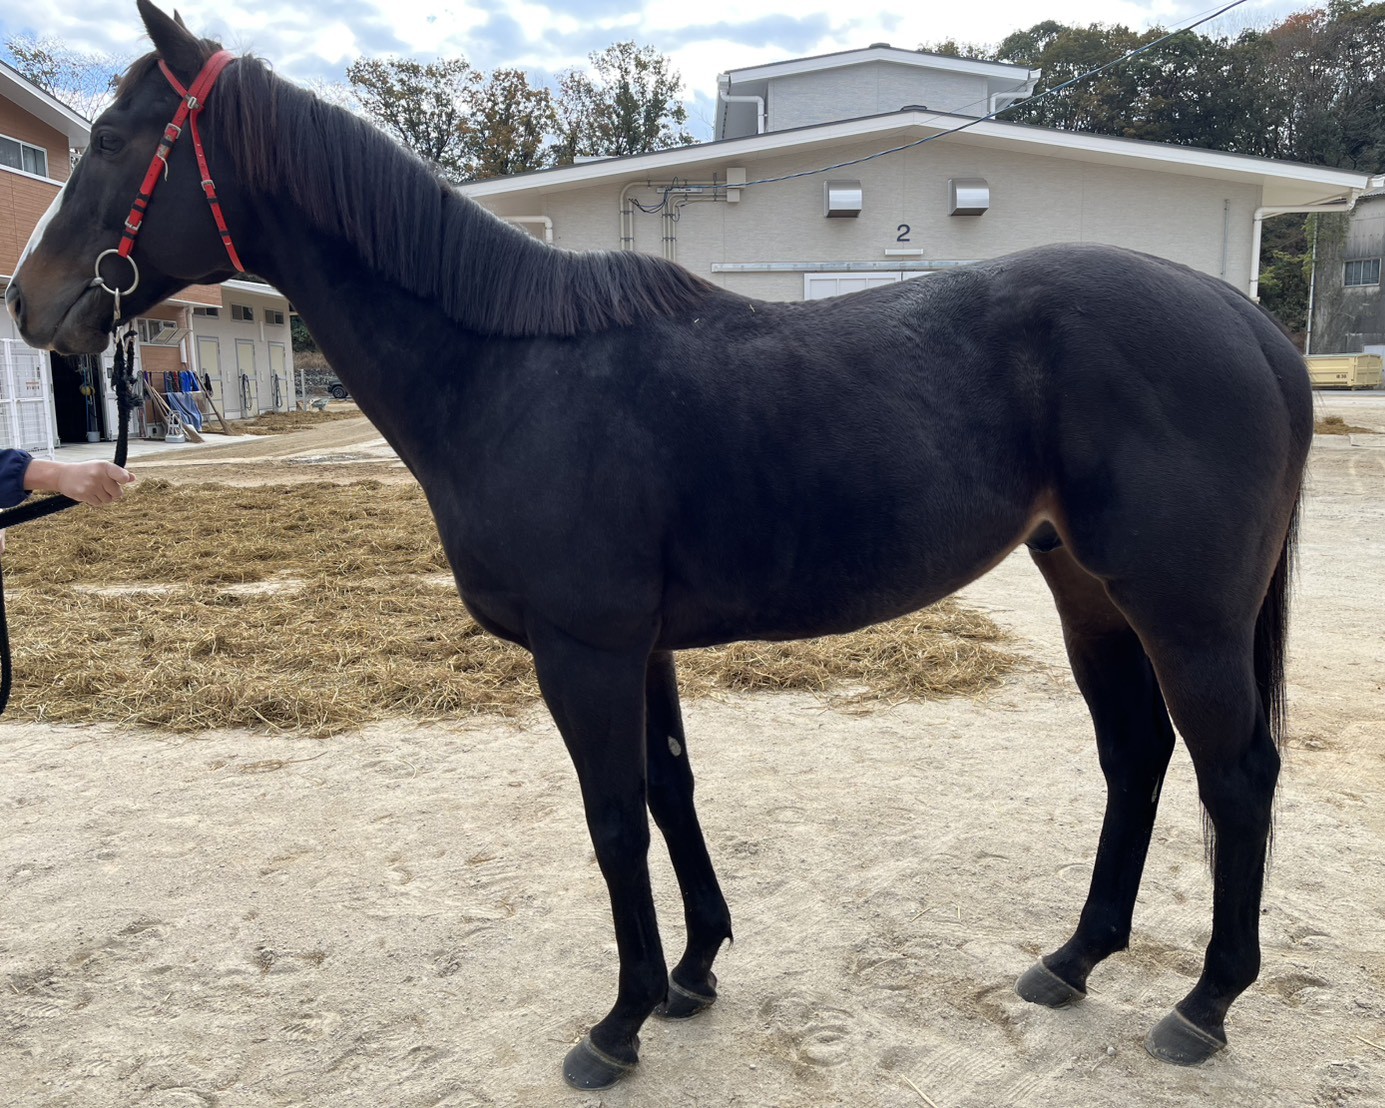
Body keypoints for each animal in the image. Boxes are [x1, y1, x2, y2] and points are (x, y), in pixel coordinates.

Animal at [6, 1, 1311, 1090]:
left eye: (115, 137)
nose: (28, 301)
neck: (506, 372)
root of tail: (1246, 323)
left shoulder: (581, 648)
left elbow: (612, 814)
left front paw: (618, 1021)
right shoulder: (638, 646)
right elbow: (672, 786)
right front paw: (691, 972)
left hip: (1184, 612)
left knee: (1233, 773)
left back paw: (1202, 1003)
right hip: (1088, 591)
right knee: (1135, 757)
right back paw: (1074, 958)